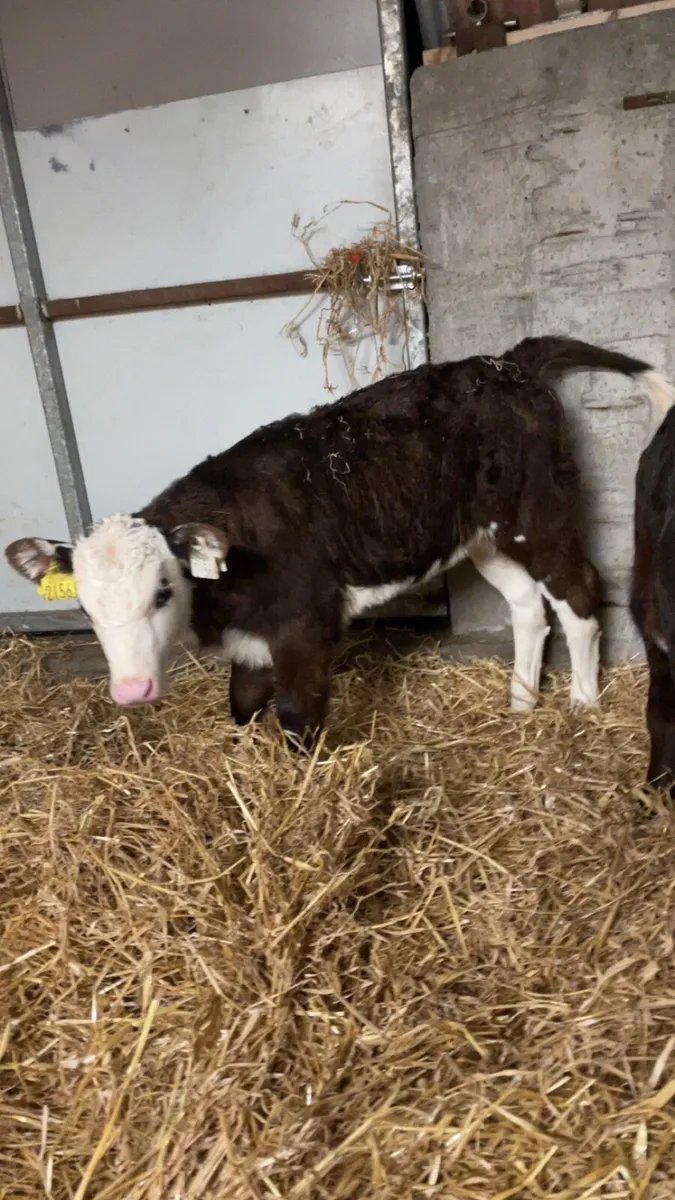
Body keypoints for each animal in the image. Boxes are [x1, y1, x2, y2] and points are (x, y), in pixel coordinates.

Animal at [6, 336, 672, 750]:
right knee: (527, 606)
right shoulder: (255, 638)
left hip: (537, 511)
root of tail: (508, 363)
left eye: (164, 591)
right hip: (482, 534)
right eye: (85, 606)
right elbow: (242, 704)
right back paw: (520, 704)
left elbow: (297, 716)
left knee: (578, 593)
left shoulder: (306, 623)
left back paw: (581, 705)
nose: (131, 691)